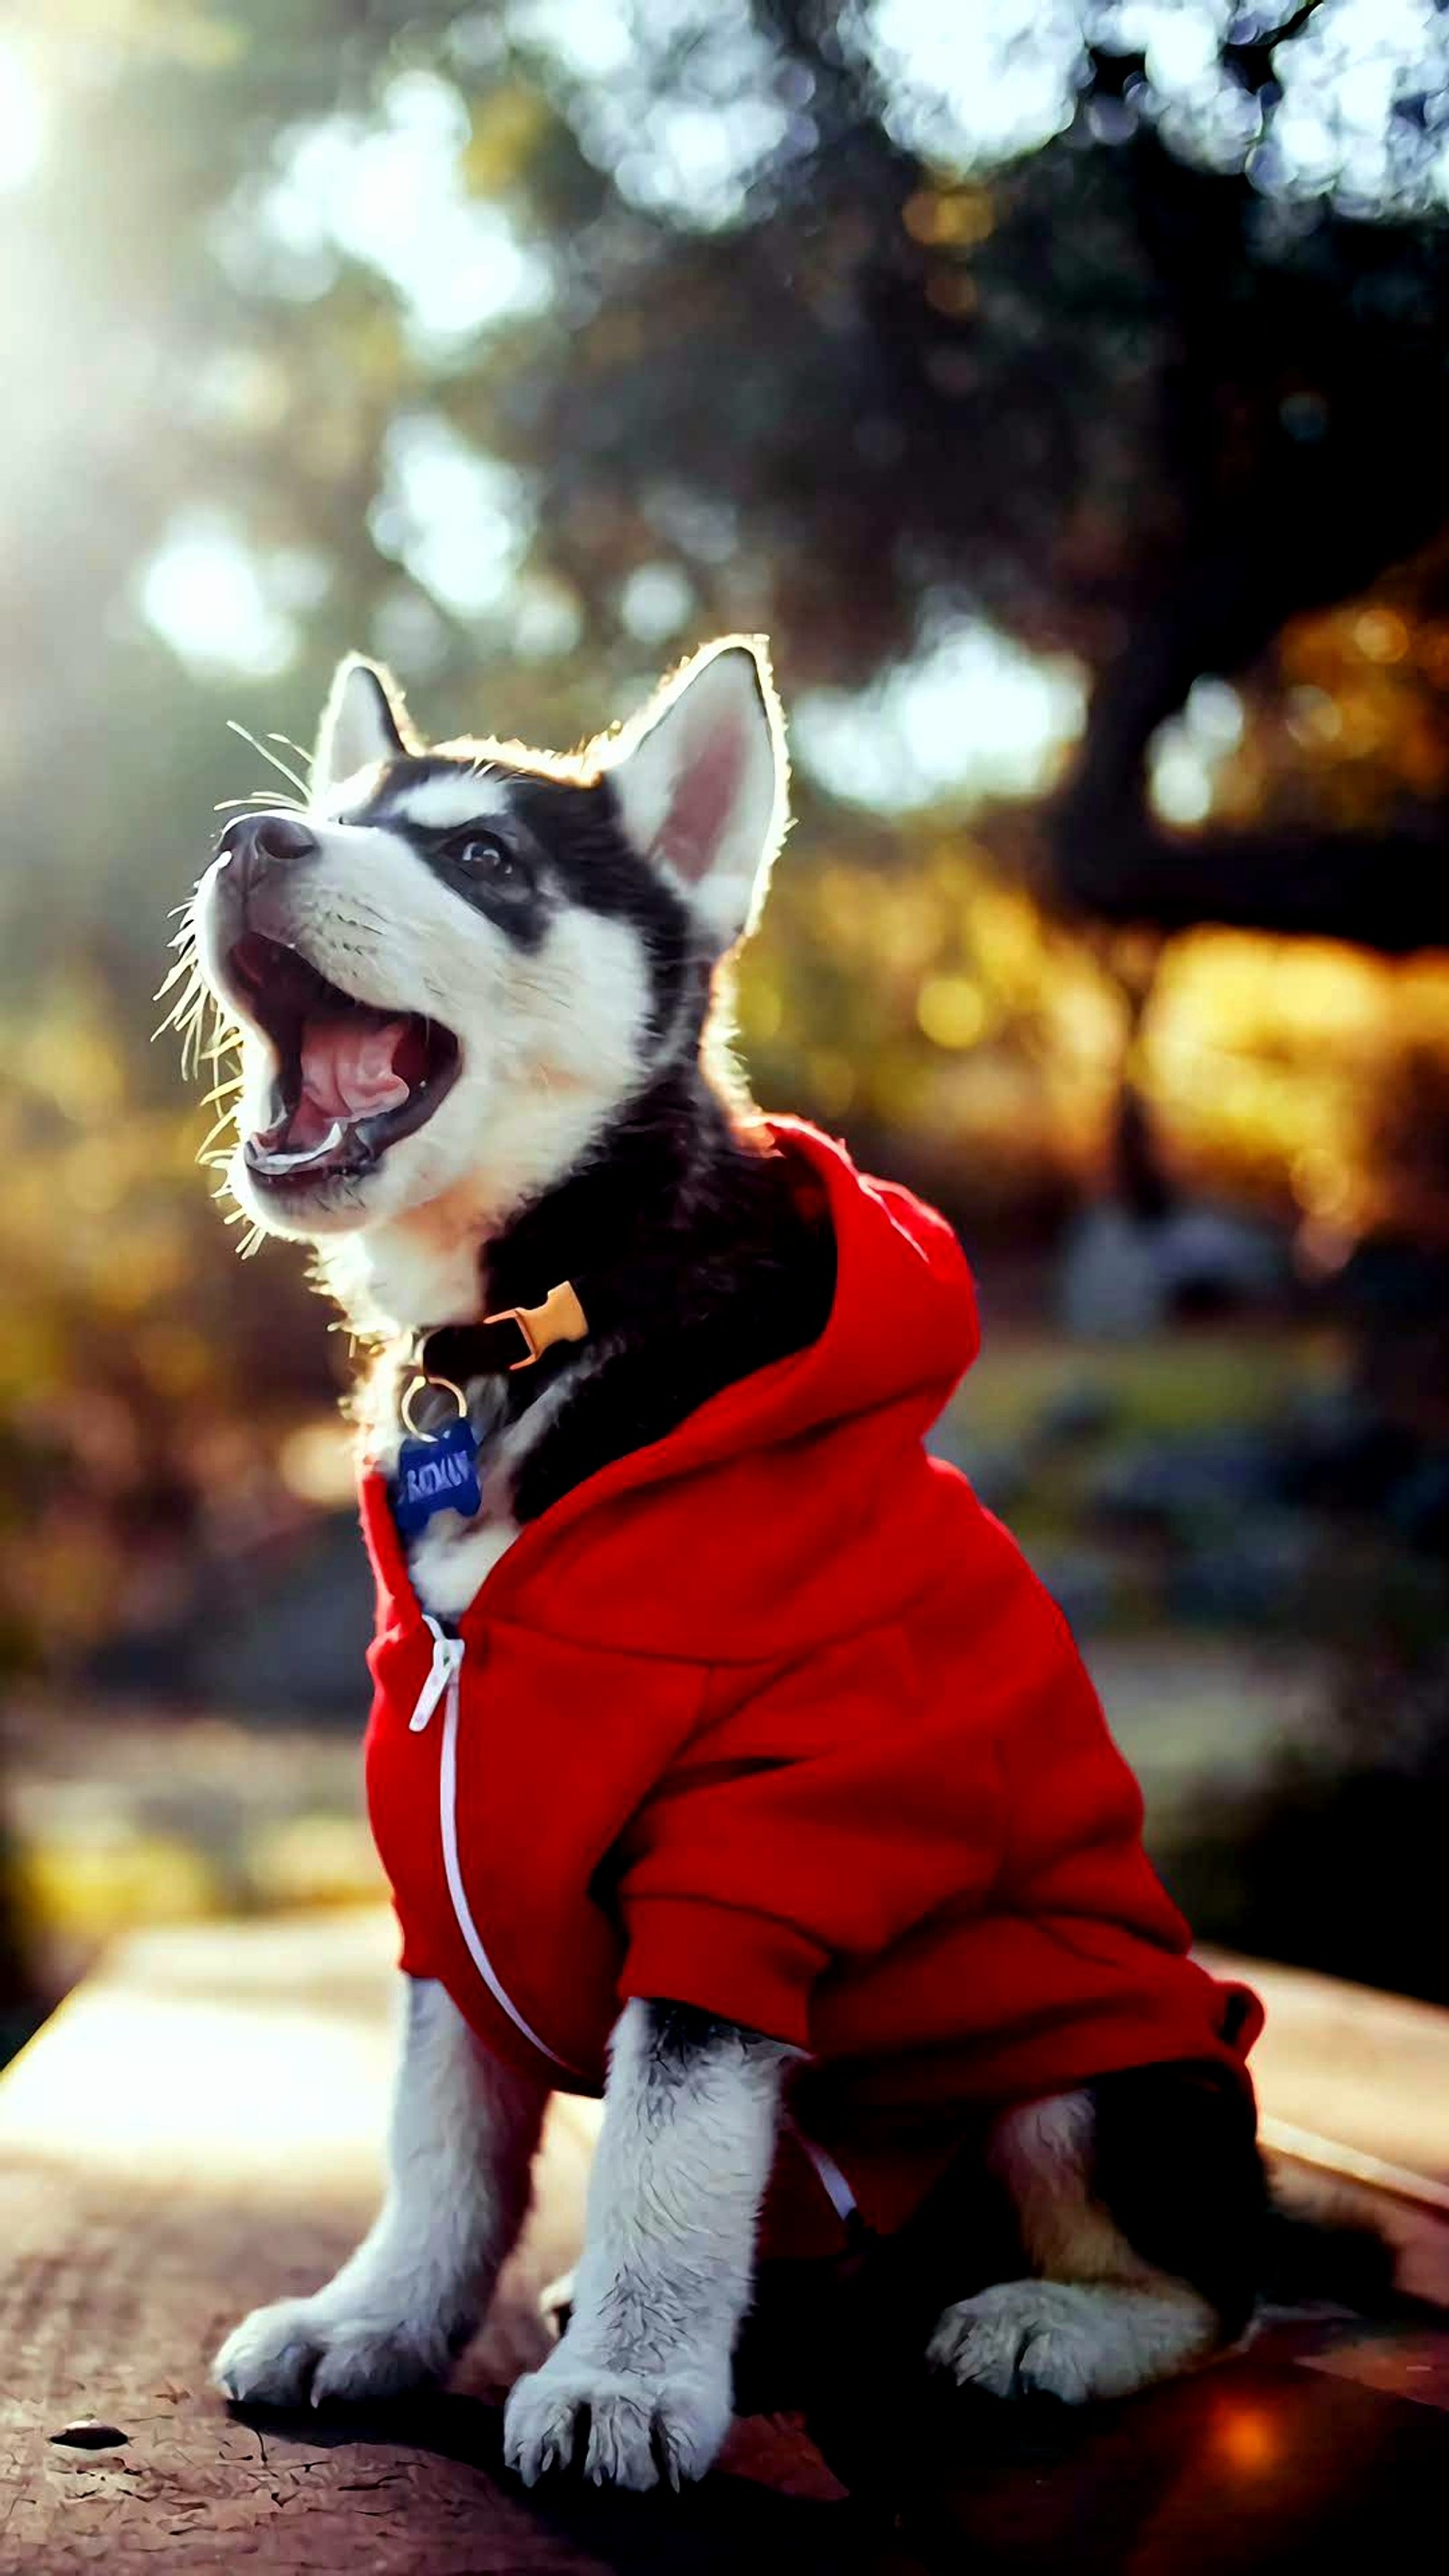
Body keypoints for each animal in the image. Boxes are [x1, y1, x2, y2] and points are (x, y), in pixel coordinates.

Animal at [178, 644, 1271, 2493]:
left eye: (484, 860)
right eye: (338, 817)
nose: (251, 838)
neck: (536, 1322)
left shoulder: (760, 1841)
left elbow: (670, 2147)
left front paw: (627, 2380)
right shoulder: (441, 1841)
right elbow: (441, 2136)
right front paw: (379, 2317)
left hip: (1104, 2063)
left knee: (1217, 2283)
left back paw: (1049, 2320)